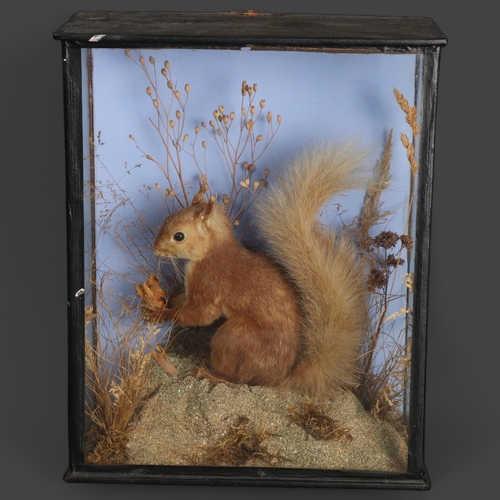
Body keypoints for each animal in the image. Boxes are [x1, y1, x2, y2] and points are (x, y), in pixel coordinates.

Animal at [137, 139, 372, 396]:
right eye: (167, 218)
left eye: (179, 236)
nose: (154, 248)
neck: (212, 252)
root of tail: (278, 380)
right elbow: (181, 299)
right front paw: (160, 300)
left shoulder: (209, 284)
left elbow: (198, 314)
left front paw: (160, 314)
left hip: (232, 337)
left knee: (238, 379)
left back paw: (210, 374)